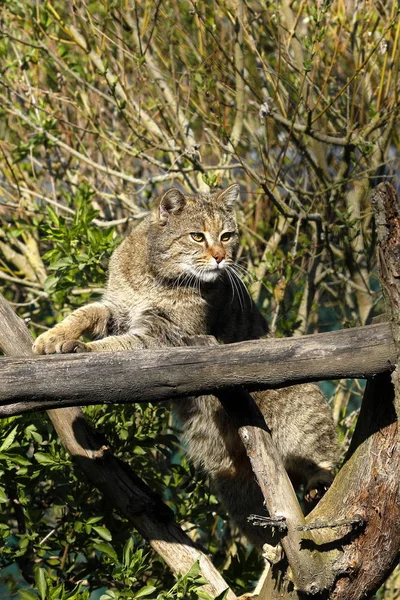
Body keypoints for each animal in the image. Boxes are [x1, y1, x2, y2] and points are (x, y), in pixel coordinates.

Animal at [33, 186, 338, 548]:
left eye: (226, 235)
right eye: (197, 236)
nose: (221, 256)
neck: (154, 276)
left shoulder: (164, 337)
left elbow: (117, 349)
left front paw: (84, 348)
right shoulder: (116, 309)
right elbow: (85, 312)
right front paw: (52, 336)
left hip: (304, 426)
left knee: (327, 461)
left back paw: (319, 482)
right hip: (235, 486)